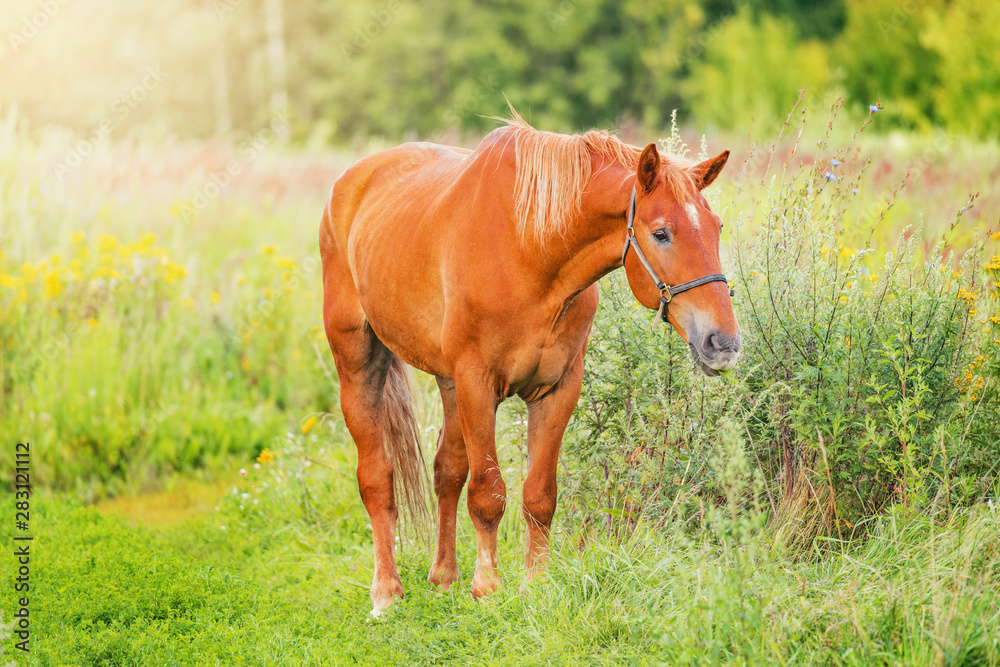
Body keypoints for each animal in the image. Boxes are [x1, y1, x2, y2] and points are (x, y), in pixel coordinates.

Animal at [319, 110, 741, 616]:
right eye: (661, 233)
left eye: (717, 227)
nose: (723, 342)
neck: (529, 250)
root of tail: (351, 180)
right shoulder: (478, 384)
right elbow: (488, 493)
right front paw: (487, 588)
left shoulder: (557, 390)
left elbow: (539, 495)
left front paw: (534, 585)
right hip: (358, 363)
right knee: (377, 479)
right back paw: (386, 592)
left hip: (447, 382)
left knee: (446, 471)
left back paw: (444, 577)